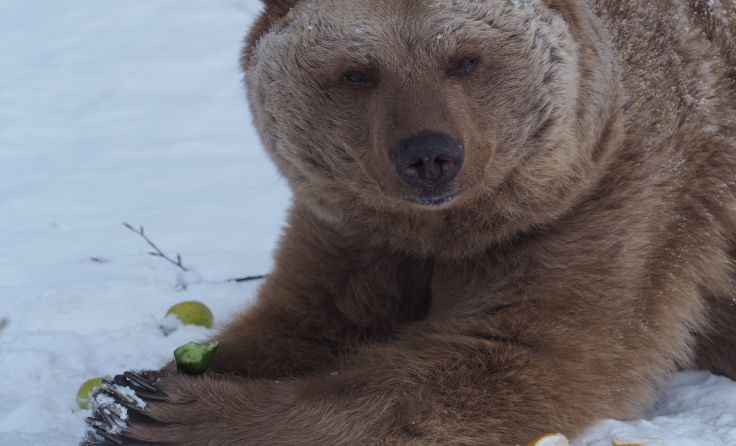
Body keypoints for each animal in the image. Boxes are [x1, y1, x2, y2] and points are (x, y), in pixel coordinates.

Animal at [83, 0, 736, 444]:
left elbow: (521, 354)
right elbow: (306, 319)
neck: (448, 230)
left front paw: (165, 412)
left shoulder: (611, 198)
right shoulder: (354, 226)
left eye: (465, 59)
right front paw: (133, 387)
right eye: (357, 71)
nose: (428, 155)